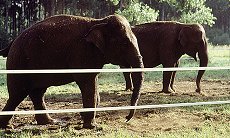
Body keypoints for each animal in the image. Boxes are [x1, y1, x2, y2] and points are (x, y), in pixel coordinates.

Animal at [0, 14, 144, 129]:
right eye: (125, 43)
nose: (126, 118)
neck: (98, 22)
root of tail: (12, 42)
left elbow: (93, 84)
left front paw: (85, 118)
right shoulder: (82, 52)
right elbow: (88, 84)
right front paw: (92, 126)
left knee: (37, 93)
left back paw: (49, 122)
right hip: (19, 63)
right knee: (18, 94)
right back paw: (8, 126)